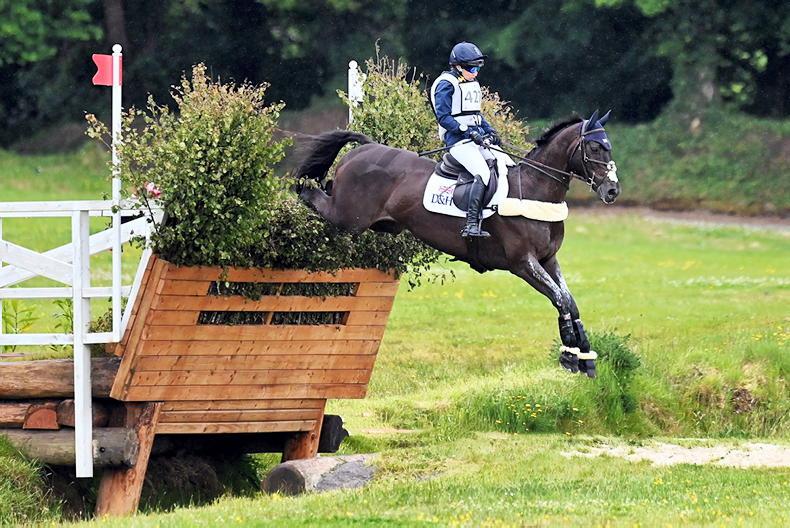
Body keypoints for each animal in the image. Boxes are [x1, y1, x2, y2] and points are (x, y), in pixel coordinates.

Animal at [295, 110, 621, 377]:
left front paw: (583, 355)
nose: (612, 190)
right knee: (311, 194)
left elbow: (569, 300)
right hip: (347, 217)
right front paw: (570, 355)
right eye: (595, 148)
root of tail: (364, 148)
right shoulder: (522, 263)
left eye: (608, 146)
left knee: (324, 189)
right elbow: (560, 299)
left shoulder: (548, 260)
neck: (533, 190)